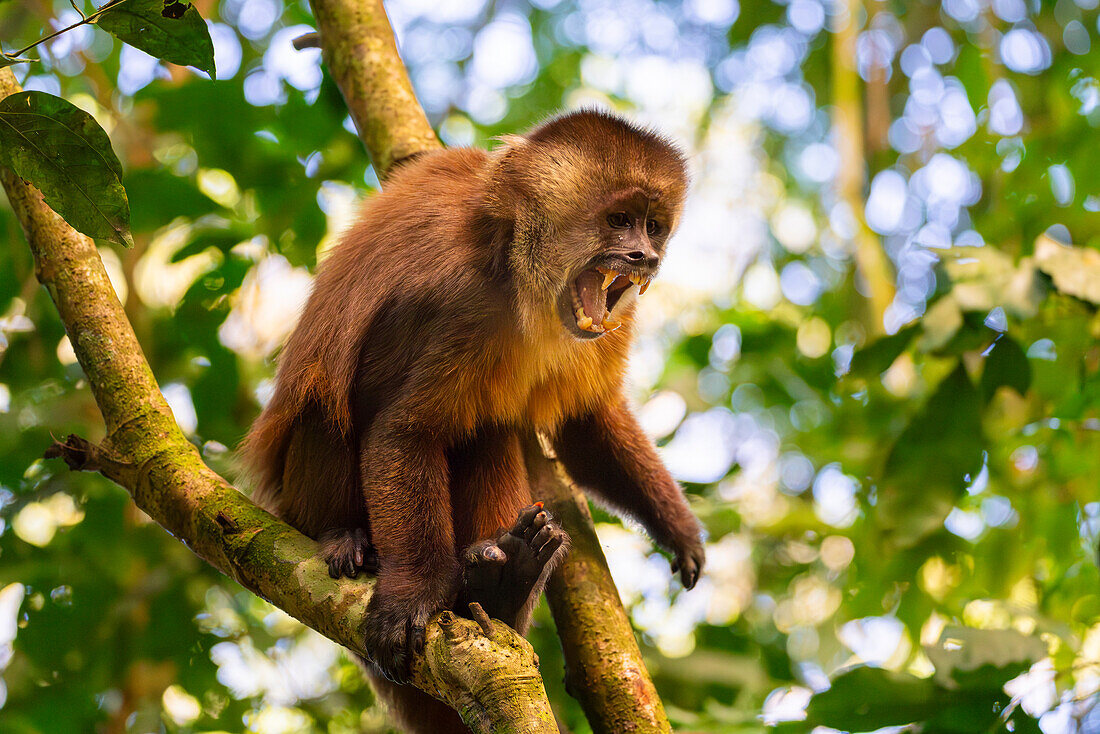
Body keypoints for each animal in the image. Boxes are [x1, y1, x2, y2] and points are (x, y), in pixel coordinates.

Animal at [239, 110, 704, 734]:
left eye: (653, 228)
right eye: (619, 221)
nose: (644, 258)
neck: (516, 268)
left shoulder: (611, 321)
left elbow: (584, 424)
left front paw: (678, 527)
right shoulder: (456, 302)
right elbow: (399, 429)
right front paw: (412, 596)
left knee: (489, 431)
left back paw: (505, 585)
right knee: (331, 406)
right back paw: (342, 536)